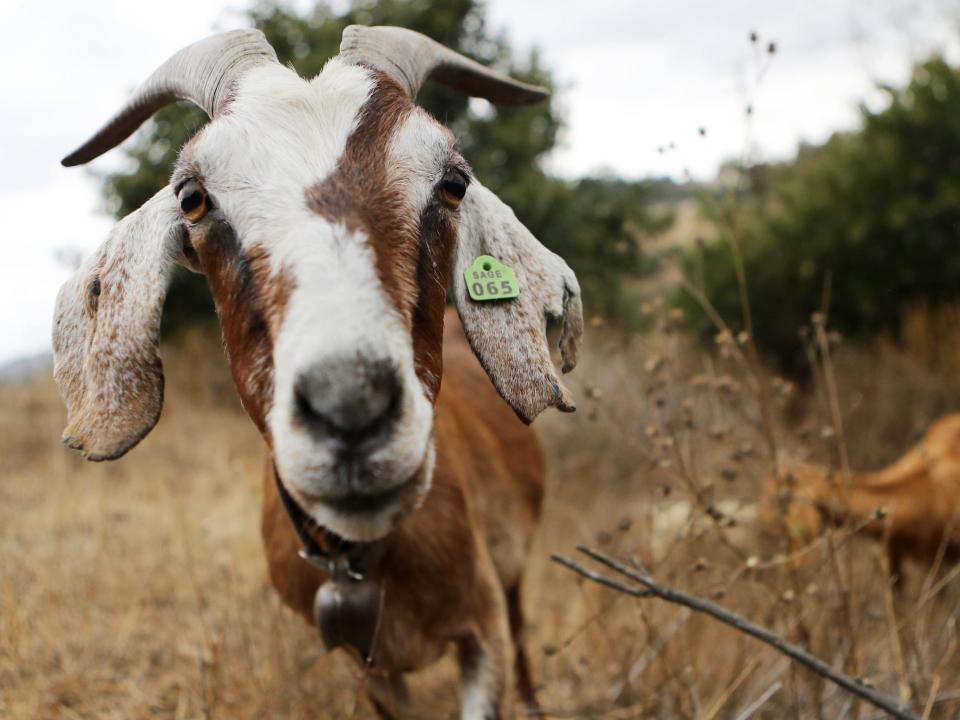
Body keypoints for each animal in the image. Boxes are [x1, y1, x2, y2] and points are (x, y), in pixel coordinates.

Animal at [54, 25, 584, 716]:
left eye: (453, 183)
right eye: (192, 197)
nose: (350, 405)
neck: (360, 561)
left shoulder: (483, 630)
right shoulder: (367, 669)